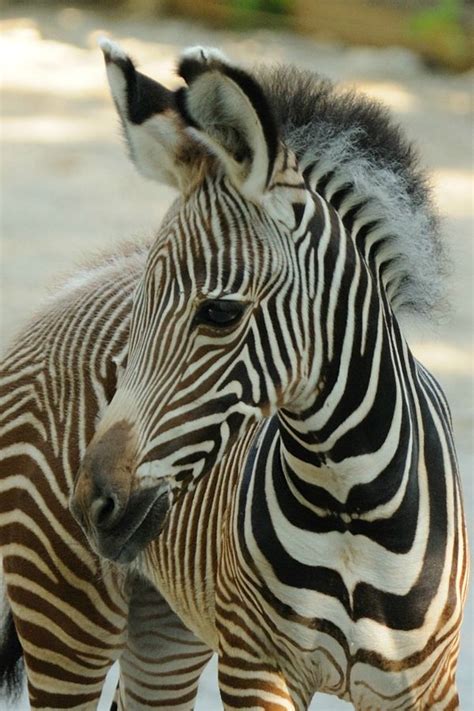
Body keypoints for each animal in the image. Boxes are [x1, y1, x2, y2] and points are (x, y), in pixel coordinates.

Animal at [72, 43, 468, 711]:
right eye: (140, 310)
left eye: (220, 312)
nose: (92, 507)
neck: (348, 505)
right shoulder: (256, 666)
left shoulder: (428, 685)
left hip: (167, 623)